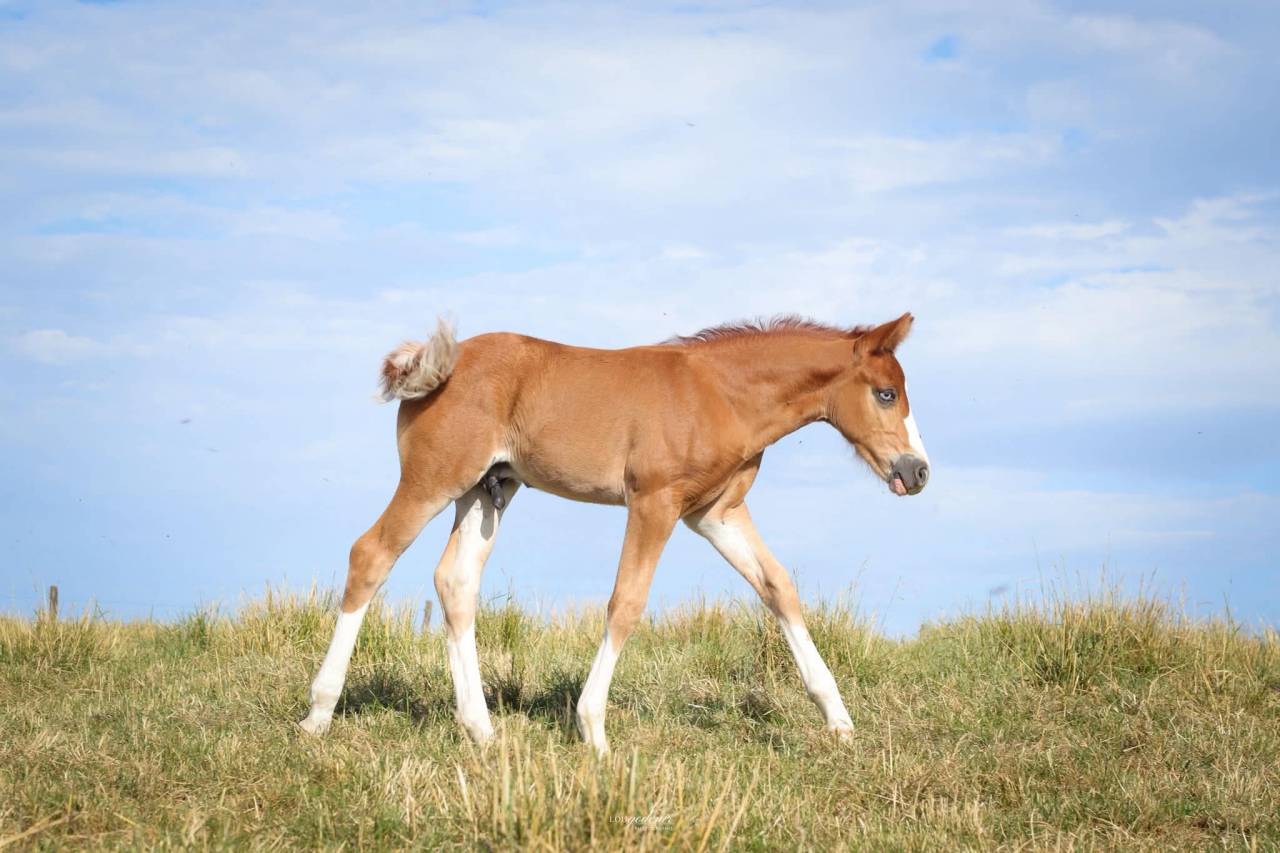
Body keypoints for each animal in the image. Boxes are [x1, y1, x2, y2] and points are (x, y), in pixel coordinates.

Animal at [300, 313, 930, 755]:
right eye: (885, 393)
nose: (917, 471)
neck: (720, 392)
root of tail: (435, 366)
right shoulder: (653, 503)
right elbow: (626, 602)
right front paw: (593, 731)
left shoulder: (717, 512)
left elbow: (778, 588)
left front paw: (838, 720)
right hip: (434, 479)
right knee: (371, 555)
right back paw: (318, 715)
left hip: (486, 490)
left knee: (455, 582)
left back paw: (481, 730)